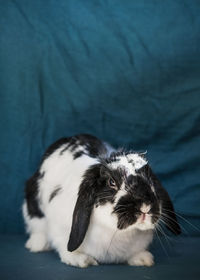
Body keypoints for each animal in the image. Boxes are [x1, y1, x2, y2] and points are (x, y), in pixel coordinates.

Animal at [22, 135, 180, 268]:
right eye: (111, 182)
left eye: (150, 180)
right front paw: (81, 260)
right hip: (33, 208)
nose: (145, 207)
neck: (114, 232)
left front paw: (143, 259)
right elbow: (66, 248)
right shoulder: (59, 229)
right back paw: (37, 245)